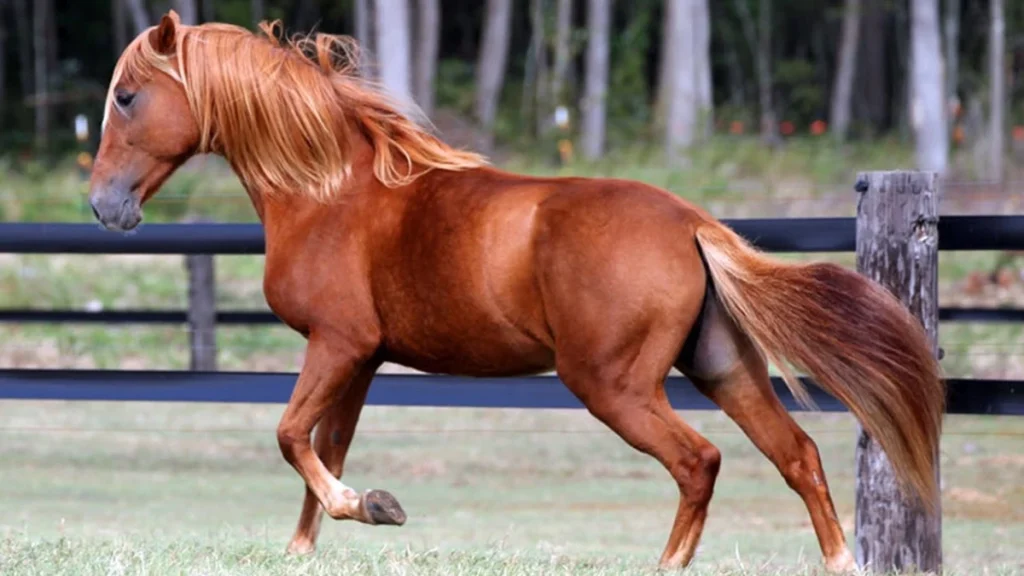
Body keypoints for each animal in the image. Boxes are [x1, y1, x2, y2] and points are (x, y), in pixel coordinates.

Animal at [88, 10, 944, 572]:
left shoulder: (337, 344)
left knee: (699, 462)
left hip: (612, 384)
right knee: (797, 456)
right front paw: (312, 542)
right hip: (723, 370)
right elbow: (324, 446)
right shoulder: (361, 359)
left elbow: (291, 435)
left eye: (127, 96)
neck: (330, 190)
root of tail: (694, 223)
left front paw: (369, 506)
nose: (104, 207)